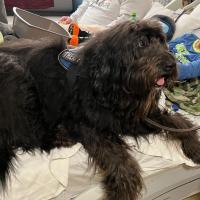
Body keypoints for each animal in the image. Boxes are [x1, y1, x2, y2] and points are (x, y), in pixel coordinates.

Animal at [0, 19, 200, 200]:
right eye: (141, 43)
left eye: (161, 41)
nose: (171, 65)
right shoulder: (84, 123)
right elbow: (120, 160)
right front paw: (122, 190)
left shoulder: (136, 117)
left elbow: (179, 121)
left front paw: (194, 145)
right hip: (16, 76)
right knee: (27, 136)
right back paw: (61, 137)